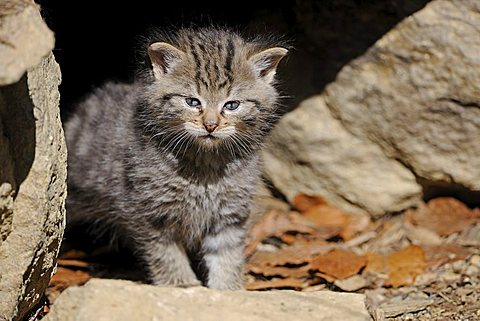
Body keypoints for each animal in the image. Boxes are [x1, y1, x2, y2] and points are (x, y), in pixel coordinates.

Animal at [65, 26, 286, 288]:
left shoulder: (230, 211)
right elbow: (166, 254)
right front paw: (182, 284)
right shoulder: (150, 211)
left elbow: (227, 253)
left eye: (232, 105)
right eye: (192, 101)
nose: (210, 125)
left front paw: (227, 288)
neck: (205, 168)